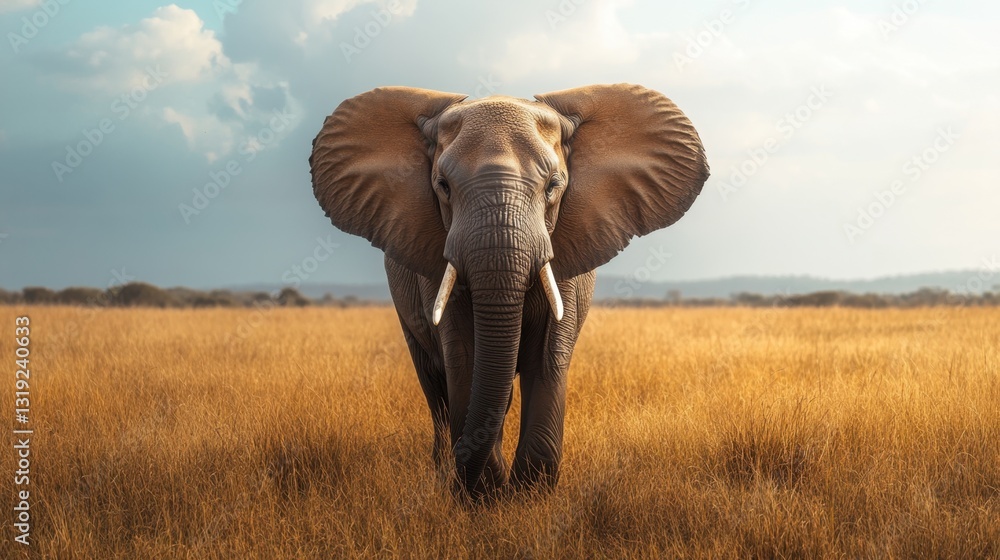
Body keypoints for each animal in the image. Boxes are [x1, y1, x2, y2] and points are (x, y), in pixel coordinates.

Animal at [309, 83, 709, 500]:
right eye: (443, 186)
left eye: (553, 186)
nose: (469, 479)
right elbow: (463, 356)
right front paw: (485, 494)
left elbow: (549, 354)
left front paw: (528, 495)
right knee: (433, 384)